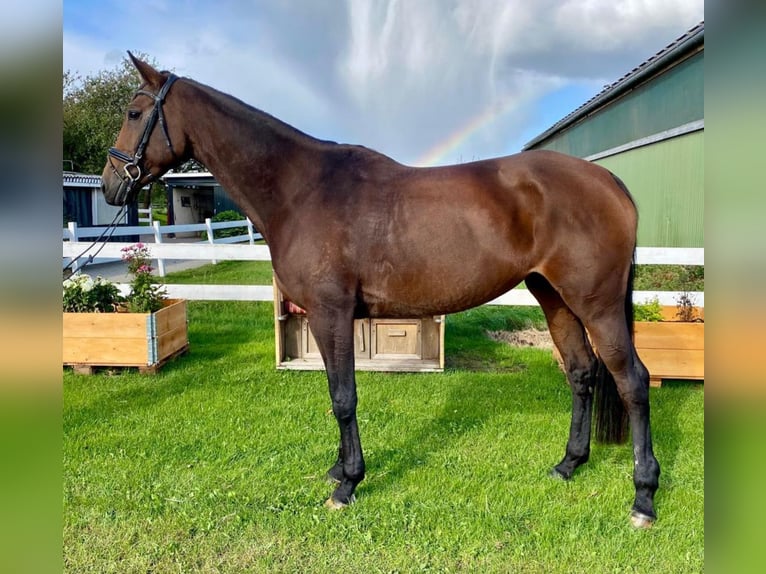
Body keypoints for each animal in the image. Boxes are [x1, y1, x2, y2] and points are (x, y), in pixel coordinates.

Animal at [103, 54, 660, 532]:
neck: (302, 190)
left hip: (596, 304)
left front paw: (347, 484)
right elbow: (336, 392)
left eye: (134, 113)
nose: (110, 184)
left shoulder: (330, 313)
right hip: (554, 297)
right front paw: (338, 470)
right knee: (582, 373)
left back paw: (643, 498)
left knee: (632, 381)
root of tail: (609, 180)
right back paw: (568, 464)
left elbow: (343, 396)